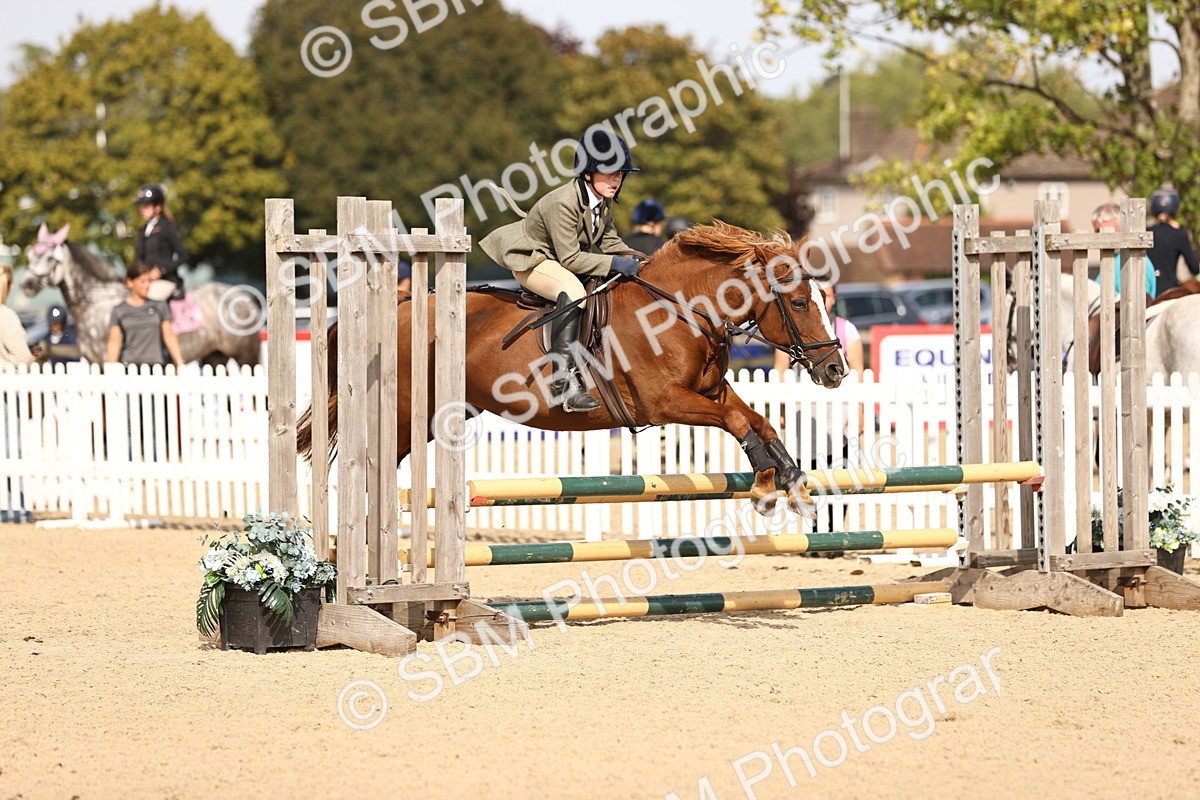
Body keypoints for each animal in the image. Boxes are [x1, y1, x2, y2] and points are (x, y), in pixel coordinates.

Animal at [21, 224, 262, 367]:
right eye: (31, 255)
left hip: (245, 358)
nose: (27, 284)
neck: (95, 304)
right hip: (215, 356)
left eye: (50, 258)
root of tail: (244, 297)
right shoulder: (94, 363)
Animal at [298, 221, 848, 512]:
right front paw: (764, 486)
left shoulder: (710, 392)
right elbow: (738, 421)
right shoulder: (666, 402)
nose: (835, 370)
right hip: (407, 412)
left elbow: (758, 420)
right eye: (799, 303)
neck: (679, 310)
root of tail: (398, 306)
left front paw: (793, 480)